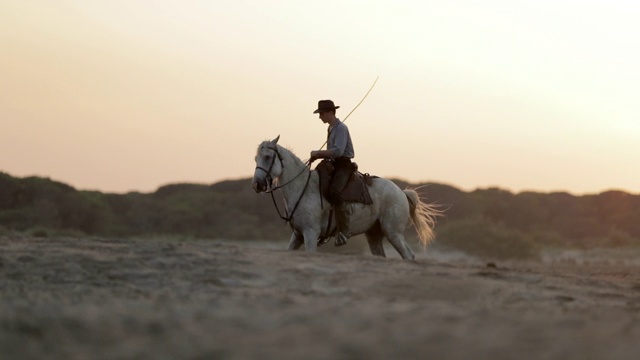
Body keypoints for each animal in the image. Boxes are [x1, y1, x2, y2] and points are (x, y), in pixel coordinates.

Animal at [251, 135, 440, 258]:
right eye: (255, 158)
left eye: (267, 157)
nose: (257, 185)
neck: (302, 188)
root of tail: (401, 192)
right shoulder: (297, 236)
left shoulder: (310, 233)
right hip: (374, 235)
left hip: (393, 232)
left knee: (409, 255)